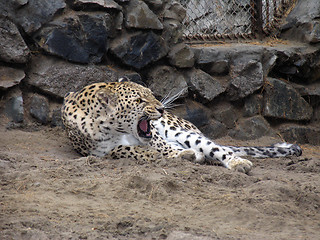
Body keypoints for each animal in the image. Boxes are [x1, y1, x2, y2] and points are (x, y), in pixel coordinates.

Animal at [62, 78, 302, 173]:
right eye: (139, 100)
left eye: (150, 94)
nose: (161, 109)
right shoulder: (99, 152)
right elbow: (129, 150)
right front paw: (179, 156)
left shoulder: (156, 136)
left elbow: (161, 147)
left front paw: (180, 155)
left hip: (184, 132)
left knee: (217, 149)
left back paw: (237, 163)